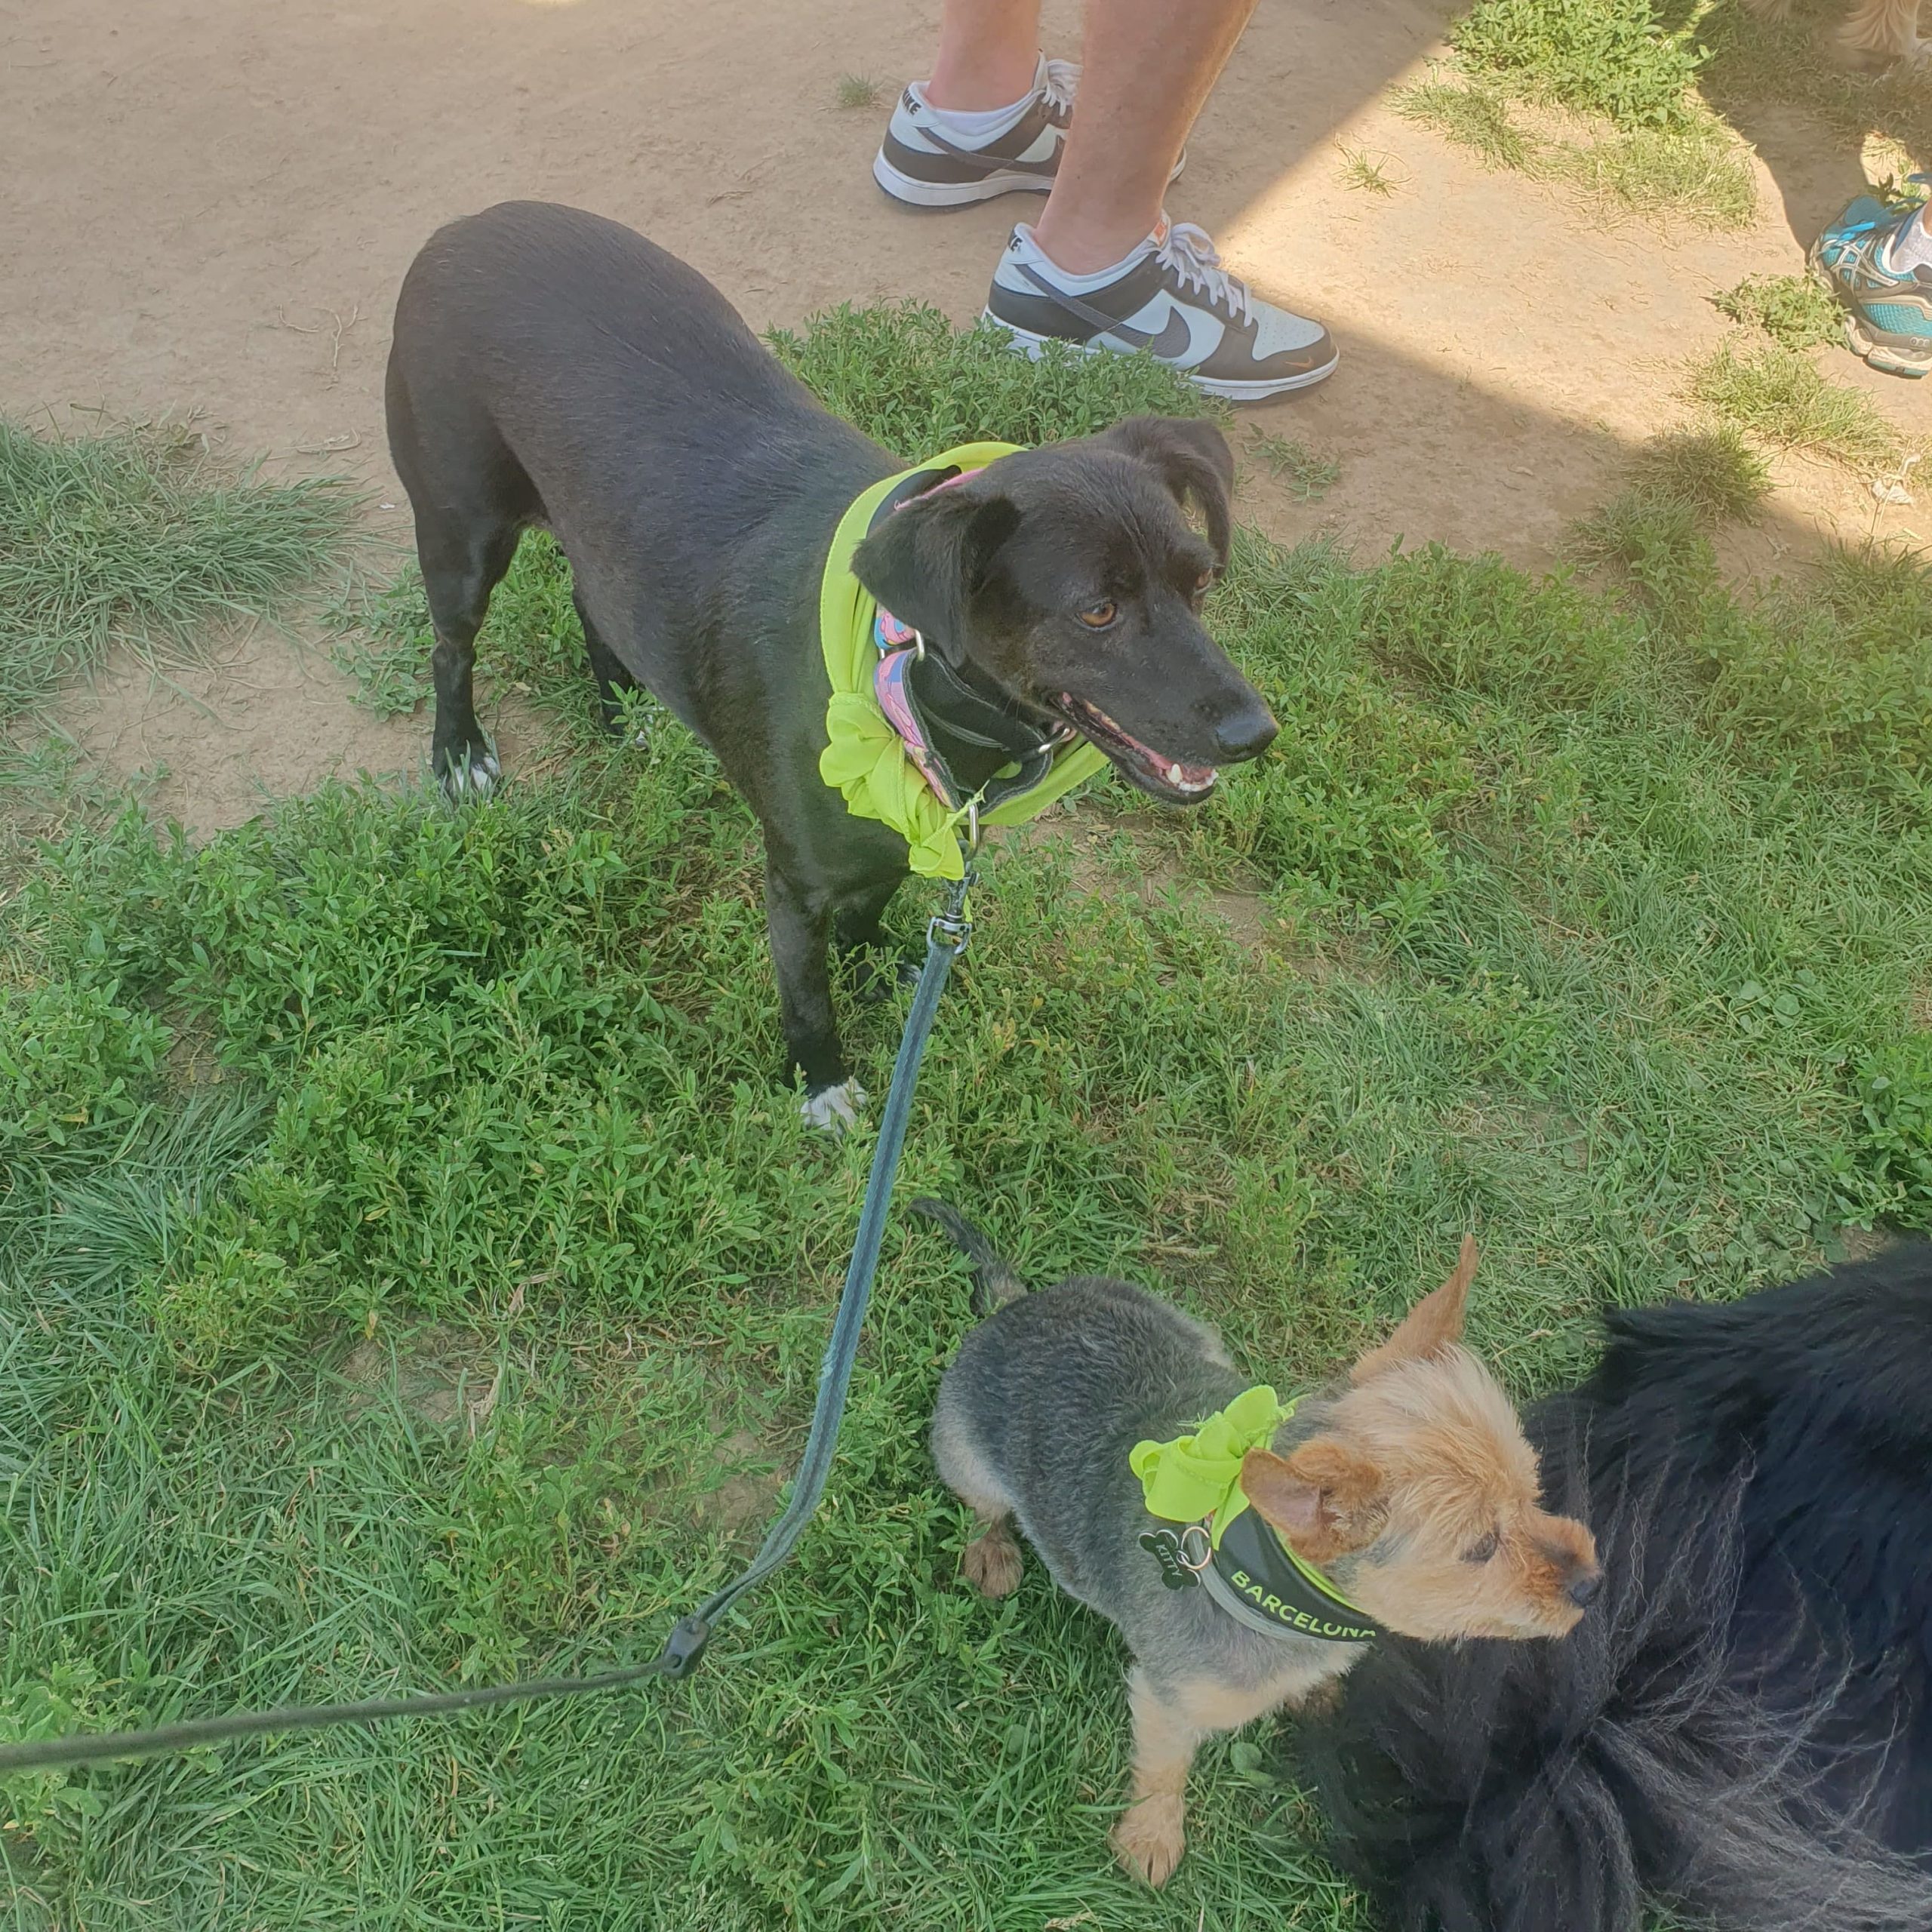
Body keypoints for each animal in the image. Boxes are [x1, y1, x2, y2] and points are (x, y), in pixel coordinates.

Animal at [382, 202, 1275, 1128]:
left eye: (1201, 580)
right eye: (1097, 611)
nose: (1258, 733)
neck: (907, 679)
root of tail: (468, 223)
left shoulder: (906, 829)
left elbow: (874, 900)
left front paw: (874, 959)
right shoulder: (793, 882)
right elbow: (806, 994)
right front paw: (821, 1084)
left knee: (592, 597)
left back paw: (623, 712)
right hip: (460, 528)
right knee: (452, 645)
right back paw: (459, 751)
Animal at [919, 1205, 1599, 1885]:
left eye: (1533, 1490)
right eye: (1481, 1548)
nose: (1592, 1583)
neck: (1272, 1587)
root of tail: (1016, 1306)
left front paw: (1316, 1690)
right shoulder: (1168, 1699)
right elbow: (1164, 1769)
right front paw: (1151, 1834)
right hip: (966, 1457)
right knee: (983, 1508)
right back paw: (992, 1552)